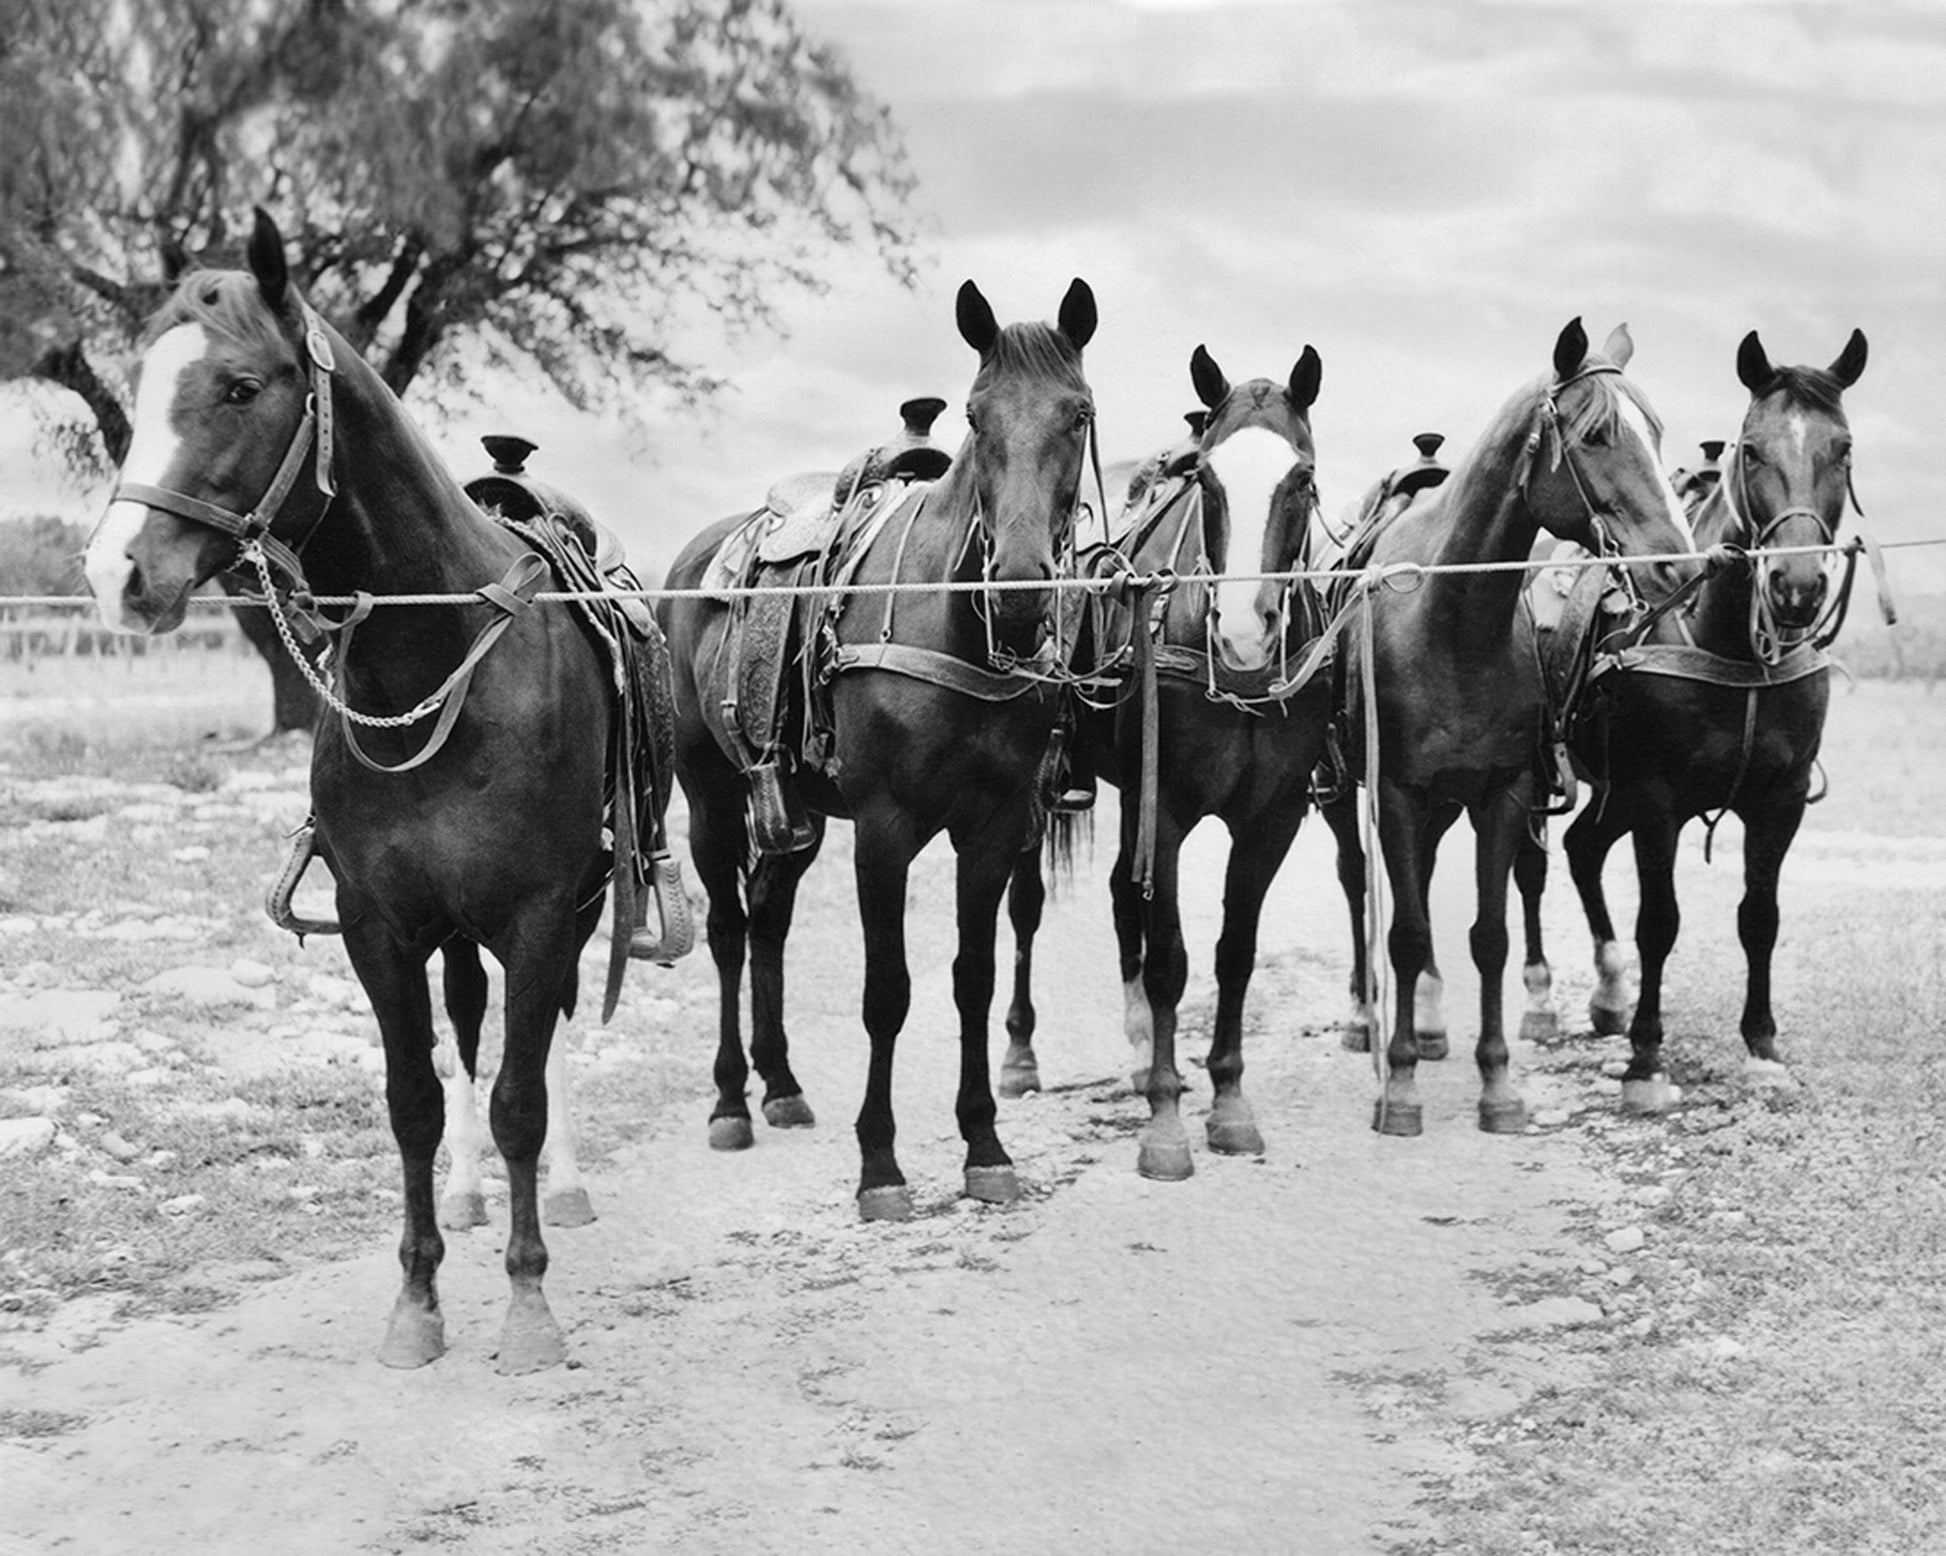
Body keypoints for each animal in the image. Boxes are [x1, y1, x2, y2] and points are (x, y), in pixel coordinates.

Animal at [81, 210, 679, 1372]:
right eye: (139, 384)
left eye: (239, 386)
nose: (114, 572)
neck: (435, 654)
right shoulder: (382, 923)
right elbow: (415, 1101)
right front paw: (418, 1298)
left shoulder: (541, 915)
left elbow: (522, 1097)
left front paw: (527, 1304)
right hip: (455, 933)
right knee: (467, 1036)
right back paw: (475, 1194)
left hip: (573, 911)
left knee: (541, 1050)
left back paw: (561, 1190)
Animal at [660, 278, 1098, 1220]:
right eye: (975, 413)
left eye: (1078, 413)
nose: (1018, 590)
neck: (953, 626)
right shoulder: (885, 832)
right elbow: (888, 992)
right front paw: (881, 1165)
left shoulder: (995, 828)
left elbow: (972, 978)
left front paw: (984, 1145)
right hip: (710, 794)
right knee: (726, 929)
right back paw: (730, 1101)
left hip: (795, 812)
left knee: (768, 918)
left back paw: (781, 1084)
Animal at [997, 344, 1329, 1179]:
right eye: (1206, 478)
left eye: (1302, 478)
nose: (1243, 629)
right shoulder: (1171, 811)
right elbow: (1171, 958)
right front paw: (1167, 1123)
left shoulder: (1271, 820)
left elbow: (1234, 953)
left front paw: (1229, 1103)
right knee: (1026, 907)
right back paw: (1021, 1055)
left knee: (1123, 893)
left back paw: (1143, 1045)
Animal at [1327, 320, 1700, 1136]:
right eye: (1596, 435)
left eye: (1658, 431)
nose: (1678, 567)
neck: (1453, 621)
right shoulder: (1394, 793)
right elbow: (1404, 933)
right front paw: (1401, 1086)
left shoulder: (1500, 792)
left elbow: (1489, 936)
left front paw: (1497, 1085)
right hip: (1350, 801)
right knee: (1359, 885)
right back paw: (1370, 1020)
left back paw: (1430, 1019)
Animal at [1557, 328, 1869, 1109]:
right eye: (1751, 448)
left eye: (1843, 448)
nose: (1795, 585)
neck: (1728, 641)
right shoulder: (1655, 799)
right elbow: (1659, 923)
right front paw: (1646, 1059)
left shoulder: (1781, 800)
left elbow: (1760, 918)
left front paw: (1762, 1047)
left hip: (1611, 794)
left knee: (1582, 849)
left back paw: (1608, 997)